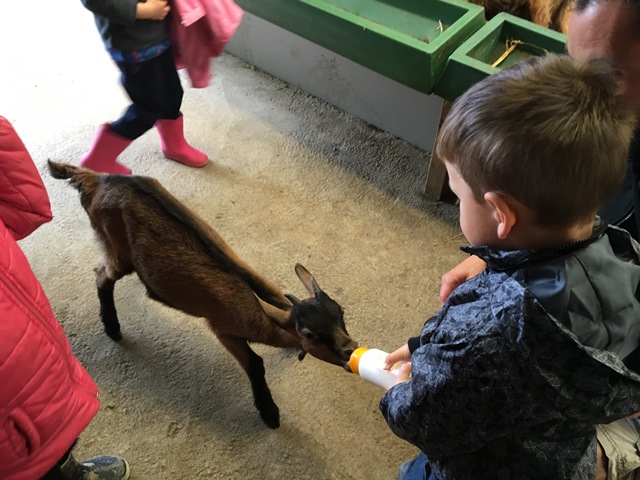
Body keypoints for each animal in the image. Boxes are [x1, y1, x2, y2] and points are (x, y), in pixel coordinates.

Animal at [47, 161, 358, 428]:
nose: (350, 348)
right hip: (117, 251)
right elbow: (255, 364)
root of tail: (97, 180)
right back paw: (112, 328)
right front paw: (269, 413)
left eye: (341, 312)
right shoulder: (222, 328)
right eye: (309, 334)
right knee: (102, 275)